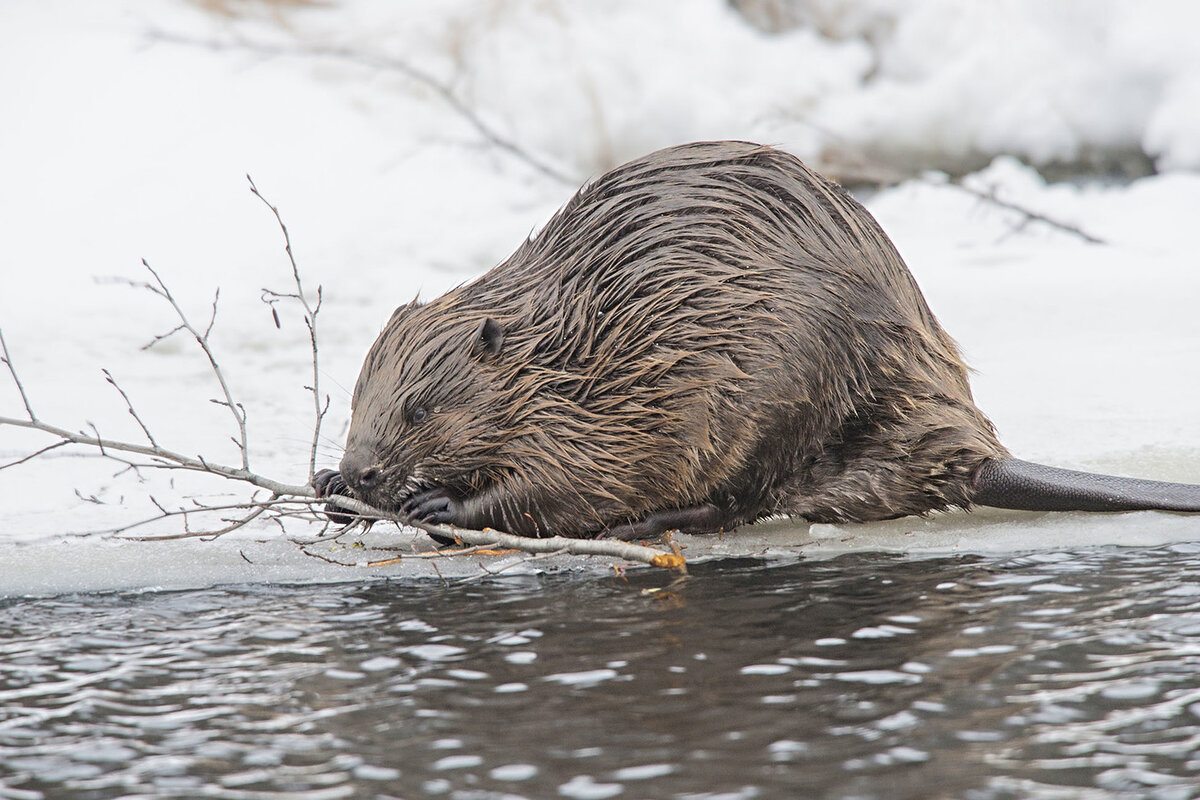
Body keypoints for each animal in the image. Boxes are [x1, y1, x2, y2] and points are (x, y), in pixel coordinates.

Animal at [312, 140, 1200, 542]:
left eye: (421, 408)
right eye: (358, 401)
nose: (363, 469)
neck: (570, 343)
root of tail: (977, 456)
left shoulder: (621, 400)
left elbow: (570, 479)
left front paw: (437, 503)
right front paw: (328, 487)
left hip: (782, 390)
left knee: (735, 499)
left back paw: (641, 527)